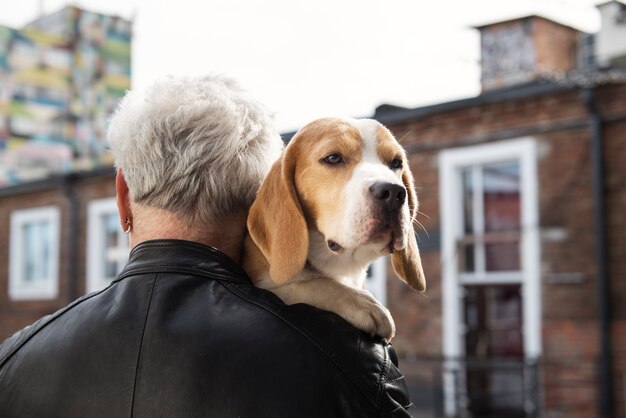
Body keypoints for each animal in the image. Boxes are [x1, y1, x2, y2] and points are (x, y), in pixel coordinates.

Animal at [243, 116, 424, 338]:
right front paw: (362, 302)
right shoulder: (266, 281)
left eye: (396, 163)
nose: (392, 192)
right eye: (333, 158)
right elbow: (313, 284)